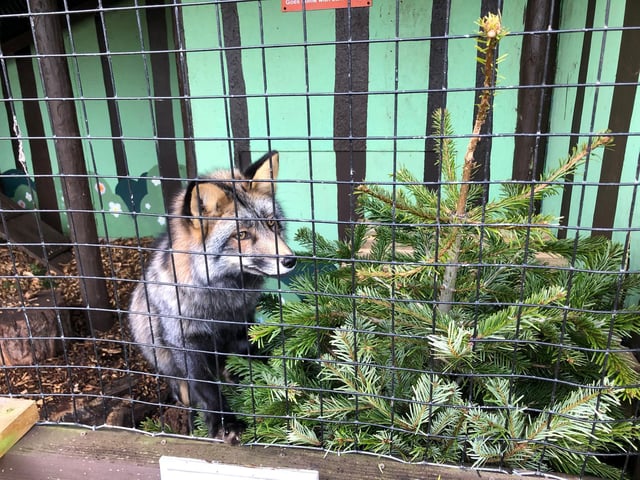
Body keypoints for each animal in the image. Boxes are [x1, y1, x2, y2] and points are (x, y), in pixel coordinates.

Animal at [128, 151, 296, 443]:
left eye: (272, 224)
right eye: (241, 235)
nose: (290, 260)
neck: (220, 304)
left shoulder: (242, 327)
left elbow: (251, 365)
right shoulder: (186, 342)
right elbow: (207, 389)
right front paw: (225, 423)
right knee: (187, 400)